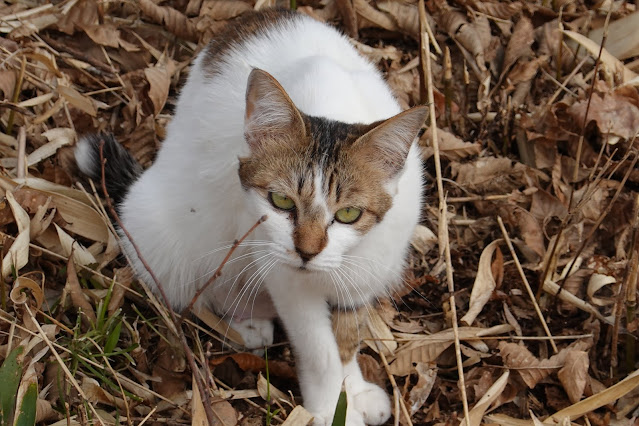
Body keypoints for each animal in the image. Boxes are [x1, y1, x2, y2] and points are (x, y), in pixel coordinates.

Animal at [74, 8, 424, 424]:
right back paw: (243, 319)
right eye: (281, 201)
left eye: (349, 213)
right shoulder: (279, 267)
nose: (307, 252)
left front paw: (352, 392)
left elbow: (346, 338)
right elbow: (320, 349)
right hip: (161, 235)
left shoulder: (367, 270)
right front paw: (331, 409)